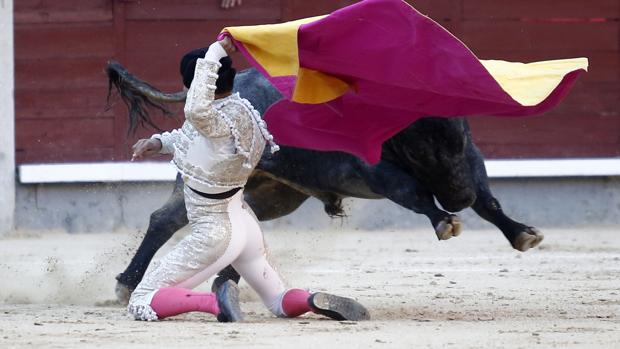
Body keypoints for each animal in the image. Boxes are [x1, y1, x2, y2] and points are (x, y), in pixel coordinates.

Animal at [106, 62, 544, 294]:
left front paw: (523, 233)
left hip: (276, 195)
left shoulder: (471, 161)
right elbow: (414, 193)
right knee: (164, 220)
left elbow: (489, 200)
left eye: (458, 129)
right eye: (422, 133)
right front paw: (445, 222)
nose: (457, 196)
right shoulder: (378, 174)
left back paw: (228, 282)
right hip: (206, 182)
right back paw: (127, 283)